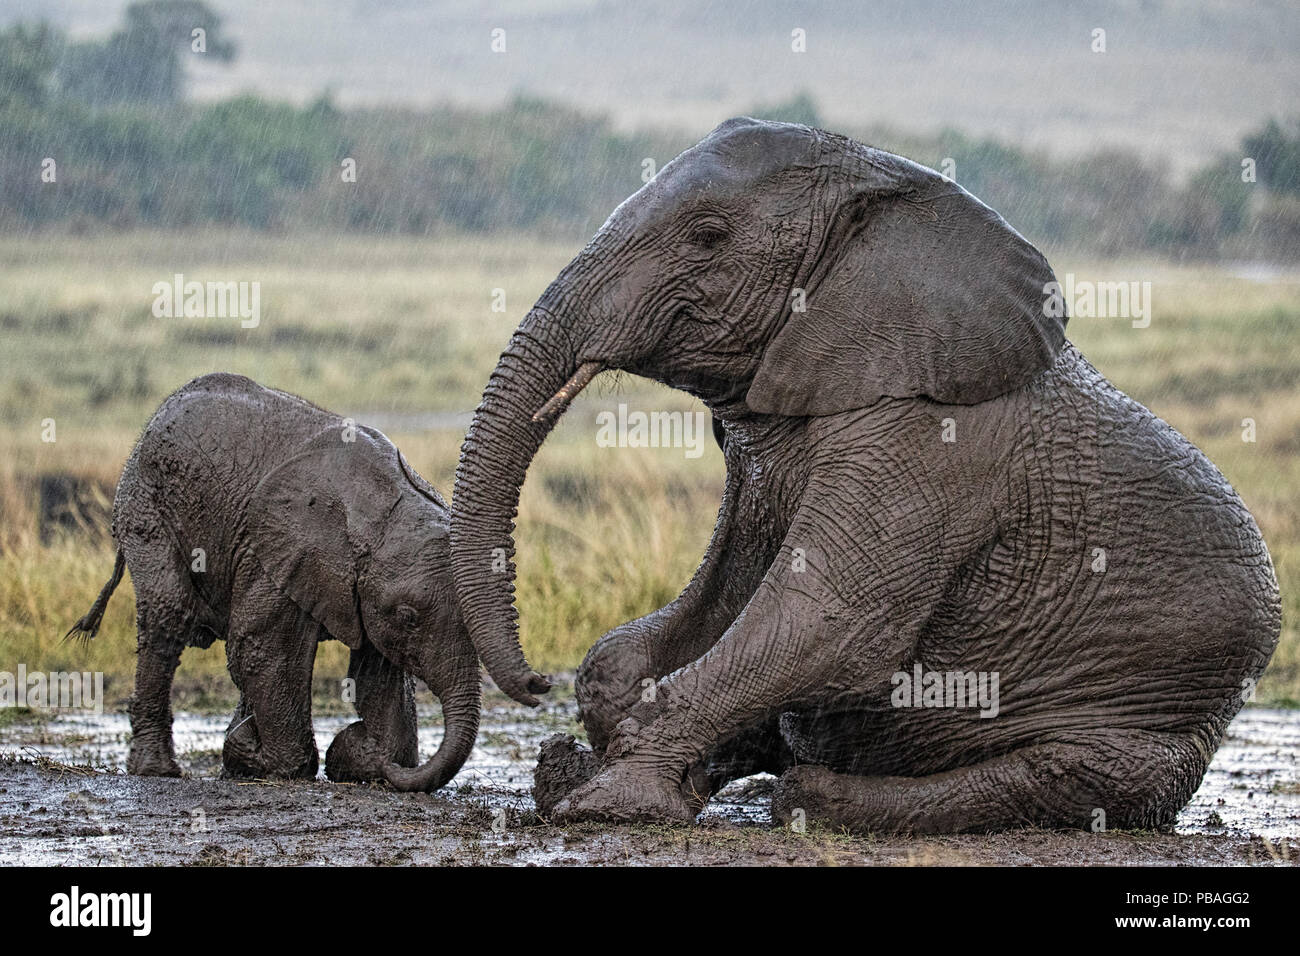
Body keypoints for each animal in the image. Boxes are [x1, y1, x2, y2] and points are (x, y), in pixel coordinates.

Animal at [68, 373, 479, 791]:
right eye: (409, 616)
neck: (387, 507)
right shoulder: (281, 550)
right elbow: (261, 650)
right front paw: (272, 758)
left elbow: (378, 674)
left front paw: (363, 756)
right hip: (146, 505)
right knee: (169, 614)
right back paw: (160, 770)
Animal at [450, 118, 1281, 833]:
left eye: (708, 237)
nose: (534, 683)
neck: (888, 191)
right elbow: (700, 613)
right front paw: (593, 759)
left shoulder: (928, 442)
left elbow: (827, 621)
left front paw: (610, 802)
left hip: (1147, 727)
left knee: (1057, 776)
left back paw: (813, 798)